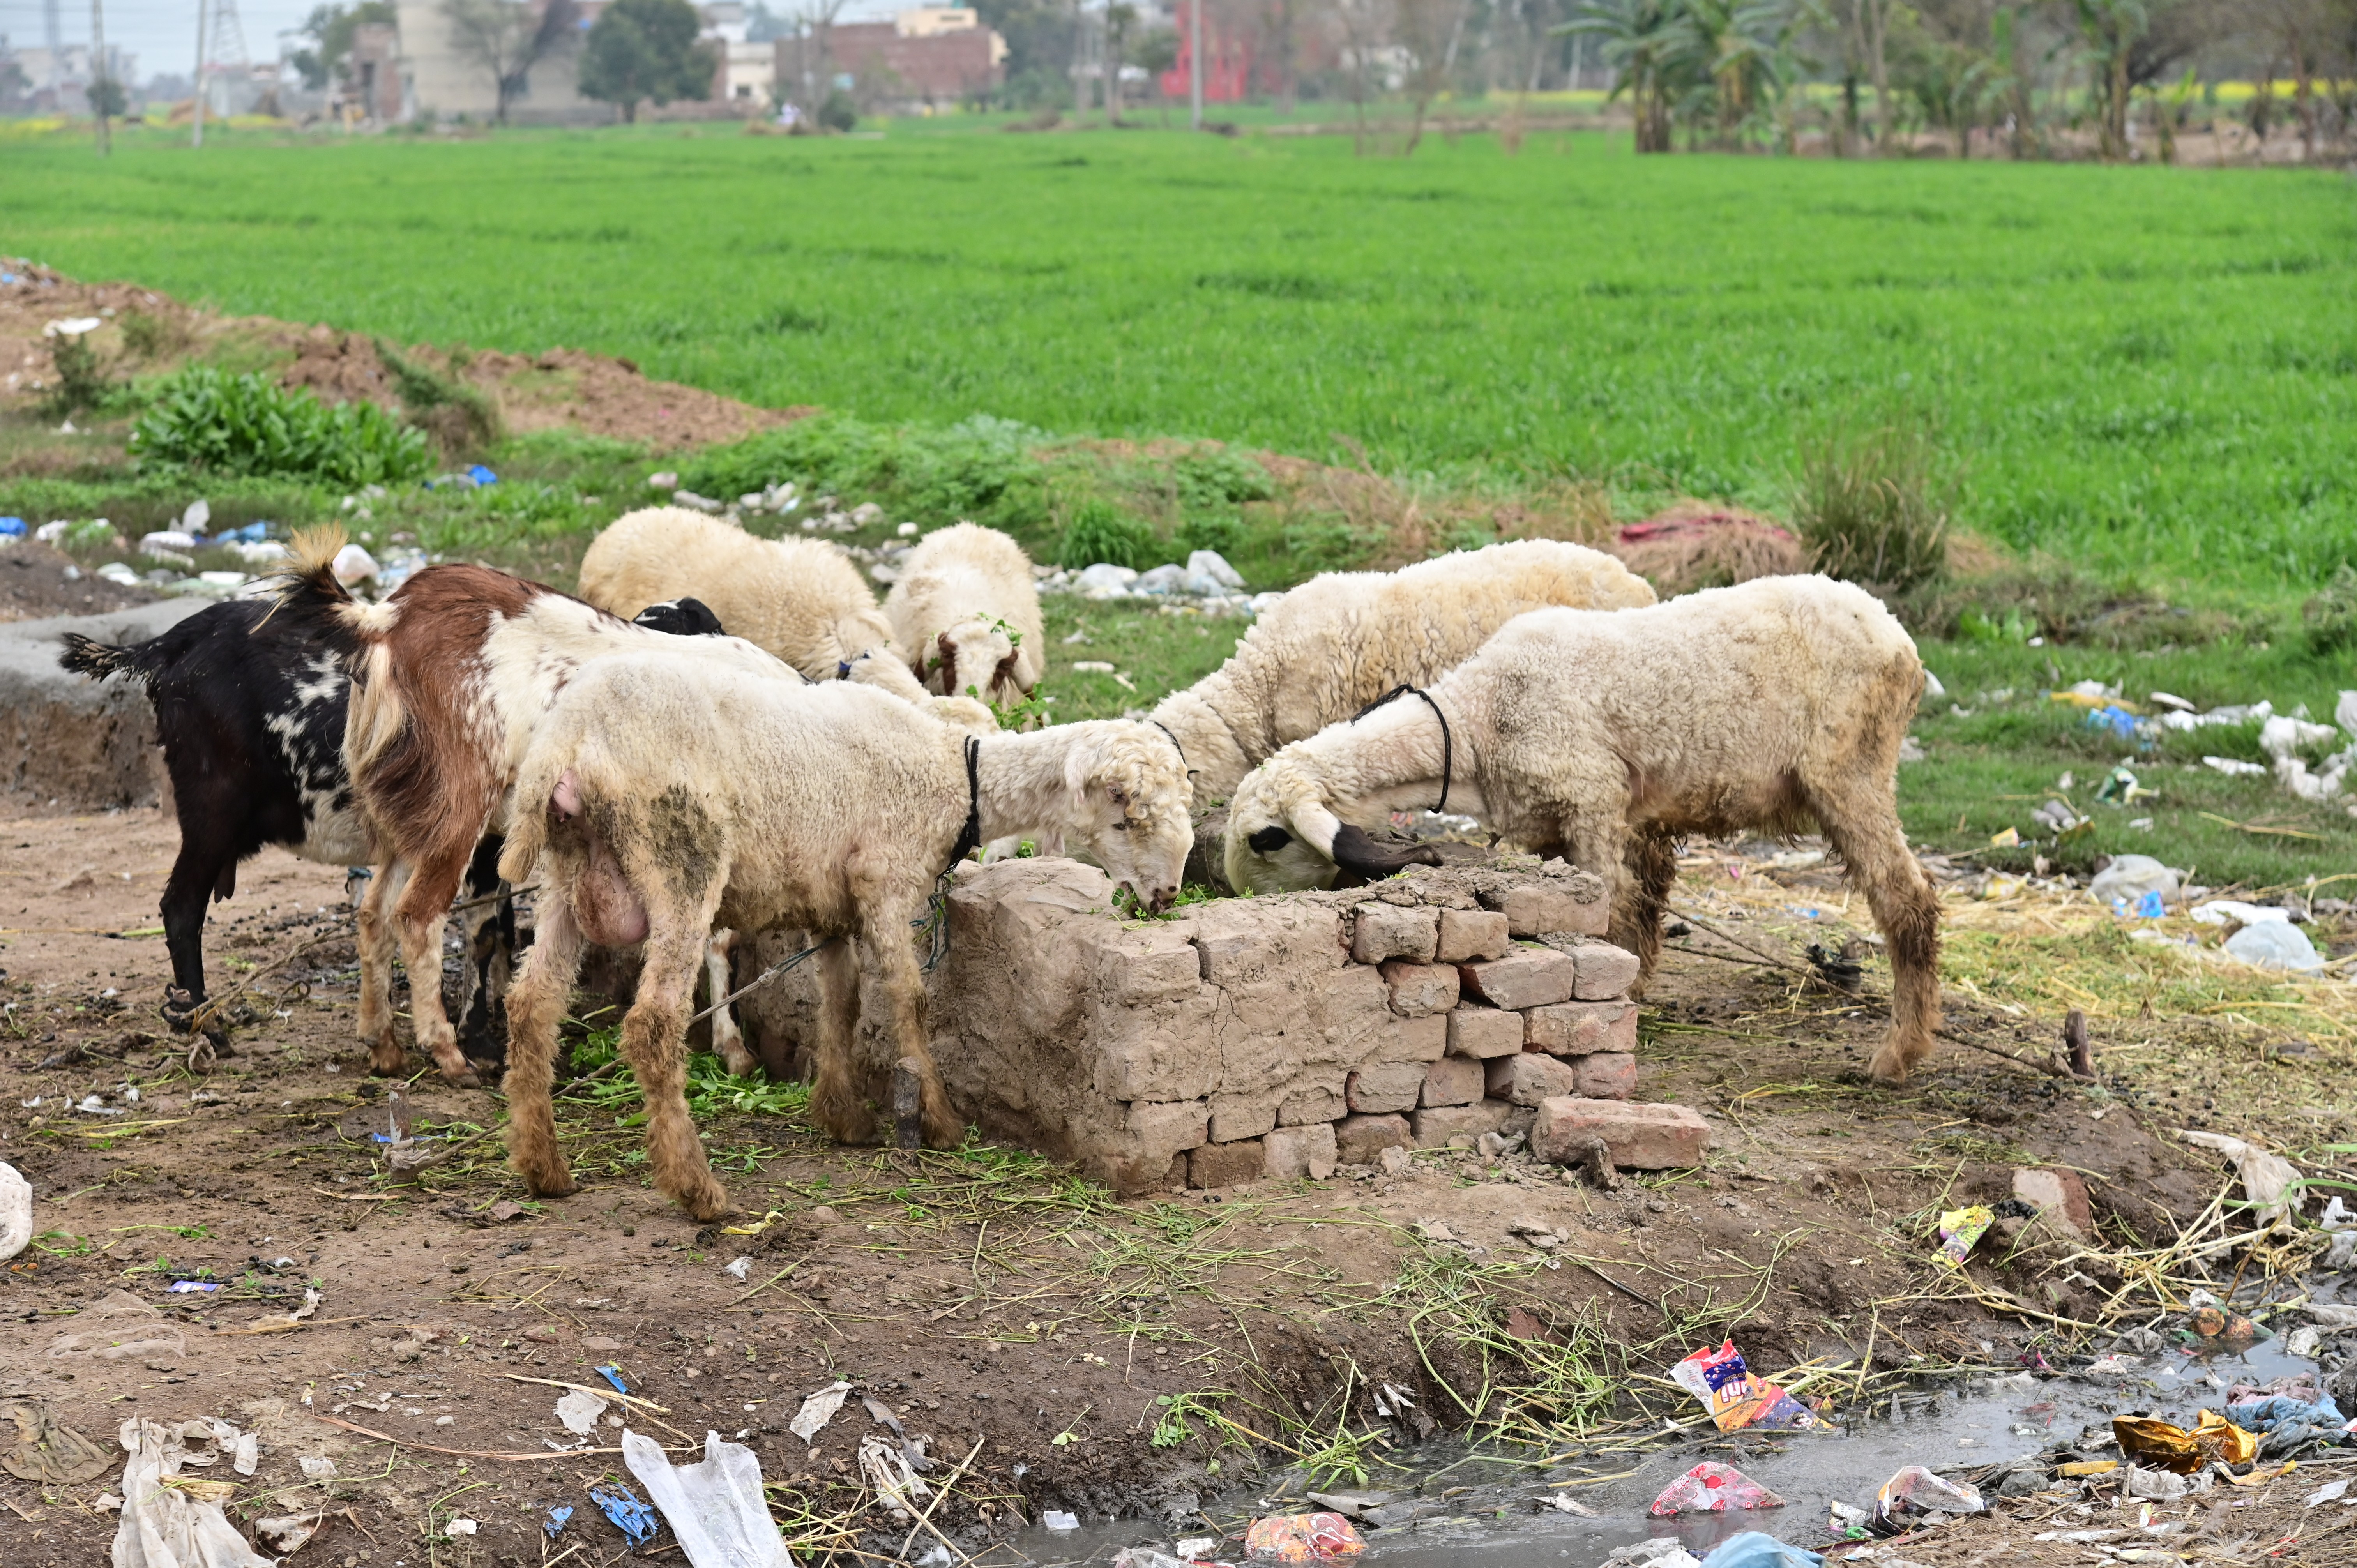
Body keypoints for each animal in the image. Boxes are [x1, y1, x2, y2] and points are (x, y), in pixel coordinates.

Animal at [267, 531, 801, 1087]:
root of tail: (388, 620)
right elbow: (718, 938)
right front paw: (733, 1047)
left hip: (408, 804)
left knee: (374, 912)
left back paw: (384, 1045)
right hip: (459, 801)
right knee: (415, 915)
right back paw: (448, 1053)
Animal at [494, 659, 1194, 1219]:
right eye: (1124, 807)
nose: (1165, 896)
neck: (953, 777)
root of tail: (573, 738)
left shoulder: (832, 904)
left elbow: (841, 1001)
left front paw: (844, 1116)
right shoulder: (886, 880)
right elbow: (908, 999)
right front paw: (940, 1121)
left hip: (566, 874)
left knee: (531, 1006)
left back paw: (544, 1168)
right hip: (679, 857)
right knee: (652, 1024)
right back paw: (698, 1190)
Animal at [1222, 576, 1942, 1083]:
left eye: (1268, 837)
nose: (1247, 901)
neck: (1479, 718)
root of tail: (1896, 636)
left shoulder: (1593, 801)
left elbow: (1611, 917)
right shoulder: (1549, 826)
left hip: (1849, 769)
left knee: (1907, 900)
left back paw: (1896, 1057)